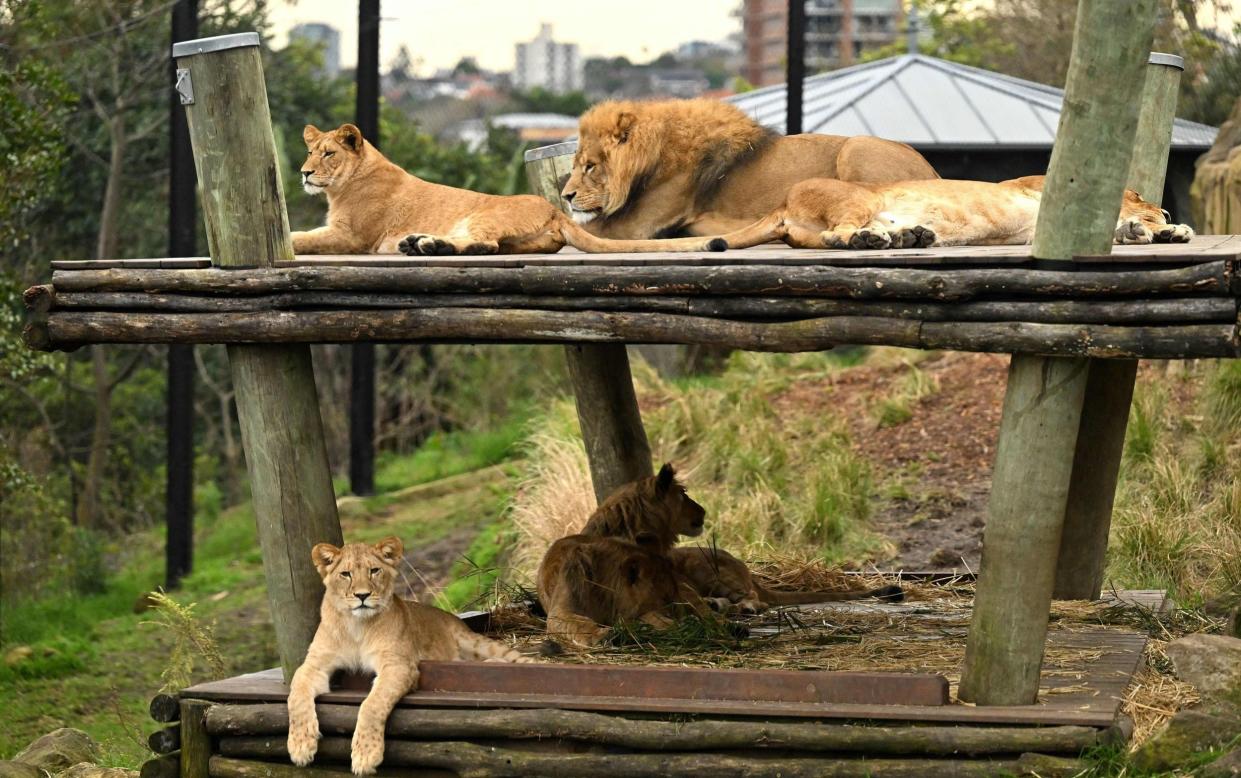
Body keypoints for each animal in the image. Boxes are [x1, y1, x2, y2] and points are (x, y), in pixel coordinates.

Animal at [285, 538, 533, 774]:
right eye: (345, 574)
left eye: (374, 570)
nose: (362, 595)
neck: (356, 626)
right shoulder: (314, 665)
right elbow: (296, 696)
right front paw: (300, 746)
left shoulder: (399, 666)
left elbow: (372, 704)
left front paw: (365, 755)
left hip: (476, 642)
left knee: (519, 660)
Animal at [290, 122, 724, 255]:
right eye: (310, 151)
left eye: (328, 154)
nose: (304, 173)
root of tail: (555, 210)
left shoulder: (352, 236)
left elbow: (302, 238)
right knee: (490, 247)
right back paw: (419, 243)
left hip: (482, 214)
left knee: (485, 244)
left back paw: (425, 245)